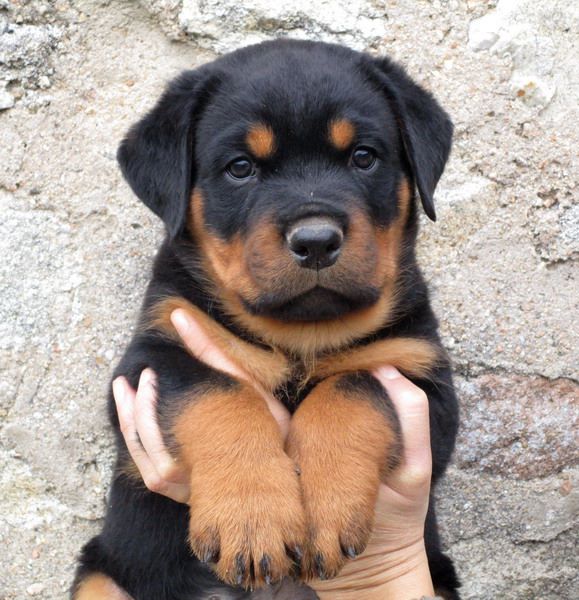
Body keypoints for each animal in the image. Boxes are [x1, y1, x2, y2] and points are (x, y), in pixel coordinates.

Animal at [73, 39, 460, 600]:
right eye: (241, 168)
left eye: (363, 157)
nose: (316, 240)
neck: (299, 333)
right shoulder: (152, 357)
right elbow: (217, 392)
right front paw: (254, 519)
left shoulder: (421, 380)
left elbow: (353, 388)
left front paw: (323, 509)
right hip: (103, 576)